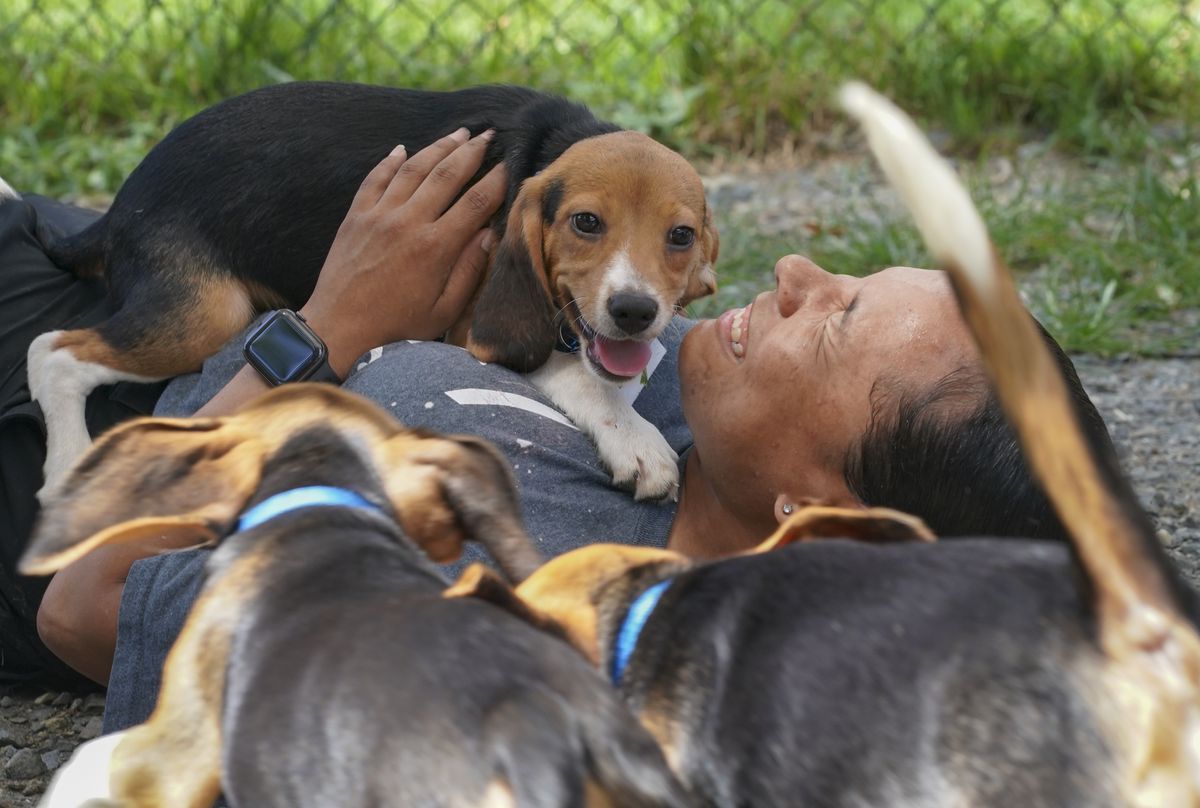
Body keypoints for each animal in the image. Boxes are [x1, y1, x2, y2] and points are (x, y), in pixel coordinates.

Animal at [28, 81, 715, 504]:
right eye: (586, 223)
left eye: (681, 236)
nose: (635, 311)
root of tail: (119, 205)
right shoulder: (473, 327)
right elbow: (575, 371)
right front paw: (633, 439)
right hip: (207, 313)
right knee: (52, 351)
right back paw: (68, 468)